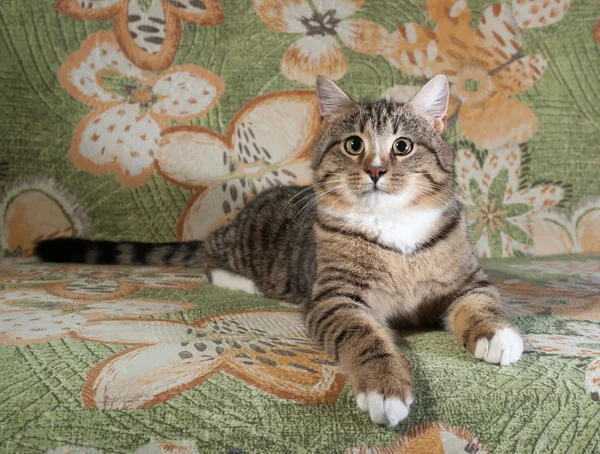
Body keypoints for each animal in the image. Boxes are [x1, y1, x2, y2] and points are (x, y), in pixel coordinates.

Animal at [32, 74, 524, 426]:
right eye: (354, 144)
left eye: (402, 146)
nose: (376, 170)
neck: (394, 230)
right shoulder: (333, 298)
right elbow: (365, 335)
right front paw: (384, 387)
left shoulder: (465, 279)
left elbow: (481, 302)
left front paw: (496, 335)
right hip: (239, 247)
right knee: (210, 256)